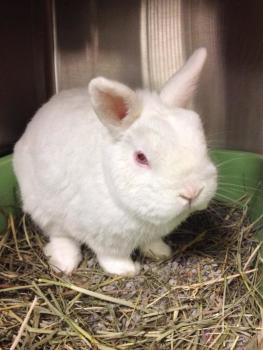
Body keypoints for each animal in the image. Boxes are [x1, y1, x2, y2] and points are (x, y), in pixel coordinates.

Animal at [12, 47, 219, 276]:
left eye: (202, 142)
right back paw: (65, 262)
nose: (192, 192)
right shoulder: (105, 238)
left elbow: (152, 242)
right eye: (141, 157)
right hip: (44, 208)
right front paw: (127, 271)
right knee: (60, 235)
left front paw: (161, 252)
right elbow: (112, 257)